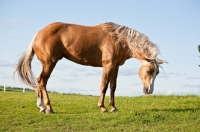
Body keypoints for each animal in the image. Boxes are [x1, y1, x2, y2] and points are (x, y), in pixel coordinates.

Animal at [14, 21, 166, 113]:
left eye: (157, 73)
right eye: (149, 70)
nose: (149, 90)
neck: (118, 39)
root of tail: (38, 34)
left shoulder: (115, 66)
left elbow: (113, 87)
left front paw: (113, 107)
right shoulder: (107, 66)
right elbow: (104, 86)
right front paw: (102, 108)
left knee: (39, 82)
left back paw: (41, 107)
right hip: (49, 63)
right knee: (42, 82)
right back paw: (48, 108)